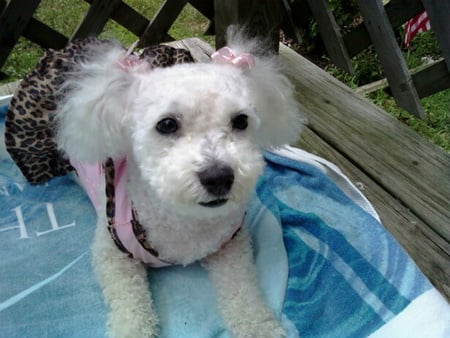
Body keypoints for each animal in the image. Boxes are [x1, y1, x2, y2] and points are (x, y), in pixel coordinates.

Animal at [55, 29, 302, 338]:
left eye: (241, 121)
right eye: (167, 124)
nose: (218, 178)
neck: (184, 219)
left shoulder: (232, 245)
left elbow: (243, 291)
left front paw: (260, 327)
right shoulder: (112, 255)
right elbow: (130, 304)